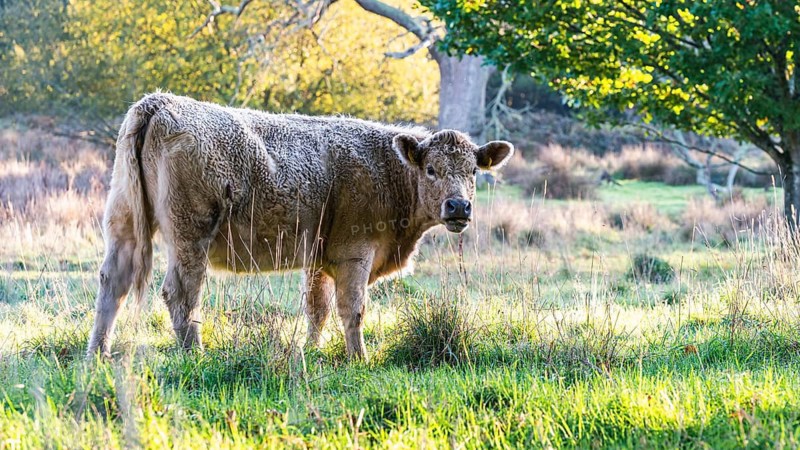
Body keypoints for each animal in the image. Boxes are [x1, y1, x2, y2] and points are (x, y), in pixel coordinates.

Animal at [86, 93, 514, 360]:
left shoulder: (318, 259)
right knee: (180, 293)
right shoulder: (355, 254)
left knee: (114, 283)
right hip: (191, 234)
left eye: (473, 171)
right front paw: (359, 358)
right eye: (431, 169)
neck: (389, 169)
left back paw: (98, 353)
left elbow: (316, 309)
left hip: (124, 223)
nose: (458, 205)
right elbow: (352, 308)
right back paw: (195, 354)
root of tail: (161, 102)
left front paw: (312, 350)